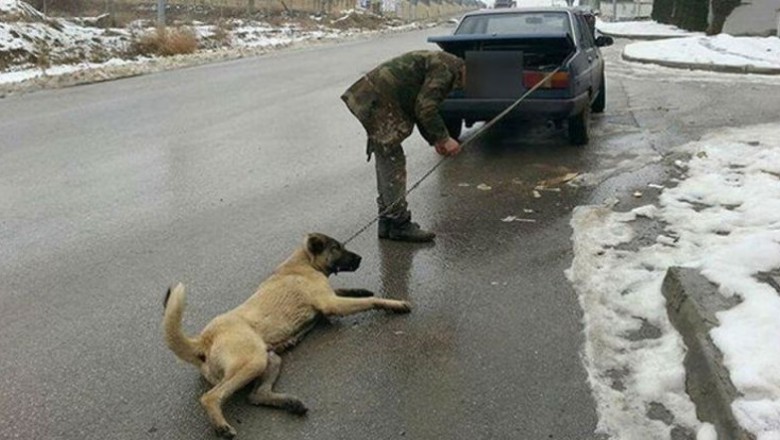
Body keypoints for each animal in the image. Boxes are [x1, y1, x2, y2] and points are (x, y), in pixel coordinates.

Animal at [162, 232, 412, 438]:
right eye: (337, 247)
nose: (359, 258)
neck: (302, 262)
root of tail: (203, 340)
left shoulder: (329, 298)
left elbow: (347, 291)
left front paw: (360, 290)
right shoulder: (330, 303)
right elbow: (370, 301)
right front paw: (394, 303)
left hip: (269, 359)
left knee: (256, 395)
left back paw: (290, 403)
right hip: (252, 361)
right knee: (211, 397)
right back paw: (221, 426)